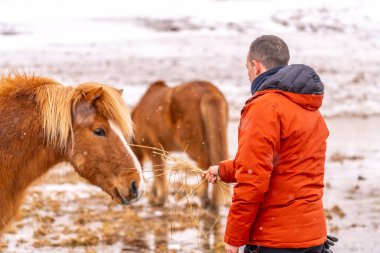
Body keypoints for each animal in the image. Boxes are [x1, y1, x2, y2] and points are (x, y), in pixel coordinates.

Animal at [132, 80, 230, 210]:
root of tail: (207, 90)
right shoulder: (163, 151)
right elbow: (159, 171)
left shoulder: (153, 148)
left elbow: (158, 173)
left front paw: (159, 199)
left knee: (204, 163)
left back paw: (204, 199)